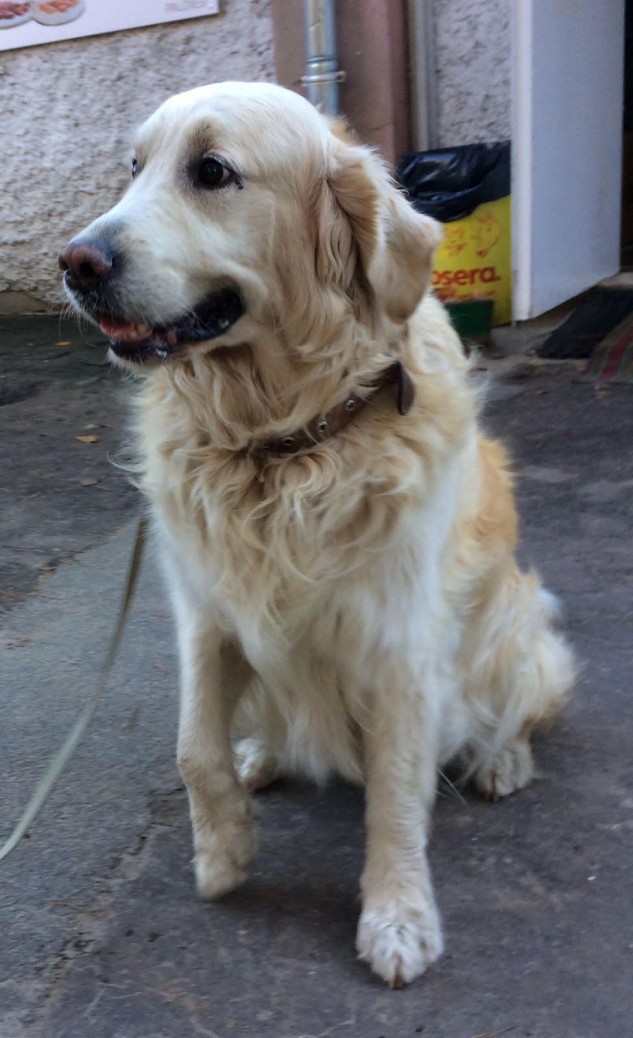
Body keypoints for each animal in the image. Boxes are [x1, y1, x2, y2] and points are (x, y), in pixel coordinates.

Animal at [60, 81, 575, 987]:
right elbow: (192, 748)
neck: (282, 442)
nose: (76, 262)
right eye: (133, 166)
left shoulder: (399, 642)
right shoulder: (206, 612)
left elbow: (395, 794)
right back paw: (261, 756)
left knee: (514, 709)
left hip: (517, 625)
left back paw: (500, 761)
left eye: (211, 171)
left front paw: (398, 917)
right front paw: (223, 852)